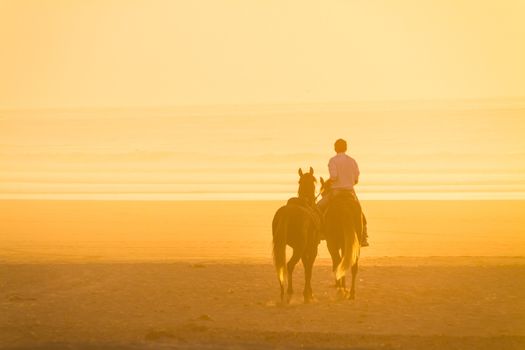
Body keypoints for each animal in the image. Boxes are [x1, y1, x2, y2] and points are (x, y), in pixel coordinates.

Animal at [274, 167, 320, 304]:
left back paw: (282, 292)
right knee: (290, 265)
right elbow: (309, 266)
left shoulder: (303, 249)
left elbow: (306, 265)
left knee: (281, 265)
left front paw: (308, 292)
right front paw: (308, 293)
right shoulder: (312, 248)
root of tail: (287, 212)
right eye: (314, 181)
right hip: (299, 248)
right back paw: (289, 292)